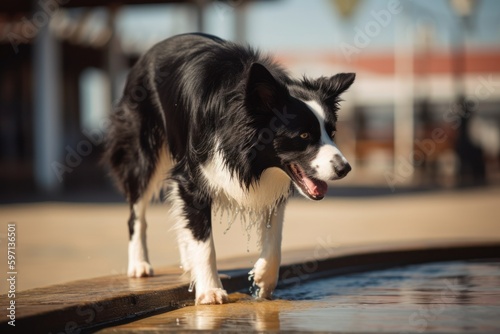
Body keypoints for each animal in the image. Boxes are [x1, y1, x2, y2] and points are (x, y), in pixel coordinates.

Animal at [104, 32, 356, 304]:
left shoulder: (272, 181)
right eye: (304, 135)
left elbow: (275, 234)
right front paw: (210, 291)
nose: (345, 168)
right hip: (142, 151)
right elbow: (204, 241)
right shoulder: (192, 177)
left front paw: (263, 279)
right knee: (137, 214)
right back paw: (139, 265)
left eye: (332, 133)